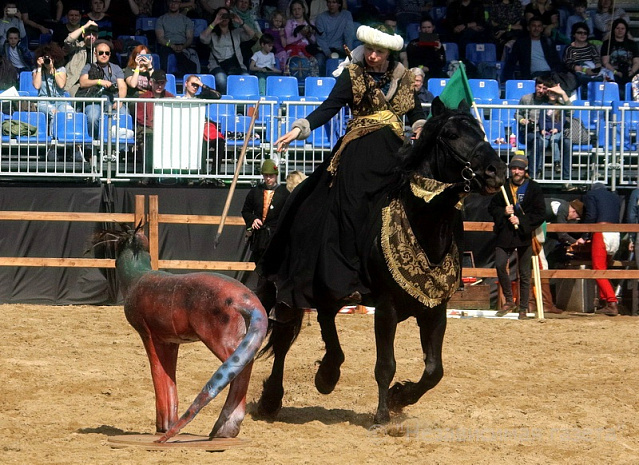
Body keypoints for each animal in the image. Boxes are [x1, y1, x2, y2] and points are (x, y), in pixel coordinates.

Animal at [258, 99, 508, 424]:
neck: (424, 226)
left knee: (326, 319)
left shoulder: (435, 310)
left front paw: (400, 396)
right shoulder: (386, 307)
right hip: (291, 287)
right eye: (452, 134)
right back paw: (272, 399)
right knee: (284, 337)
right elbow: (385, 365)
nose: (497, 171)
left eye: (480, 130)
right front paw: (382, 416)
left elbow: (434, 370)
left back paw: (327, 374)